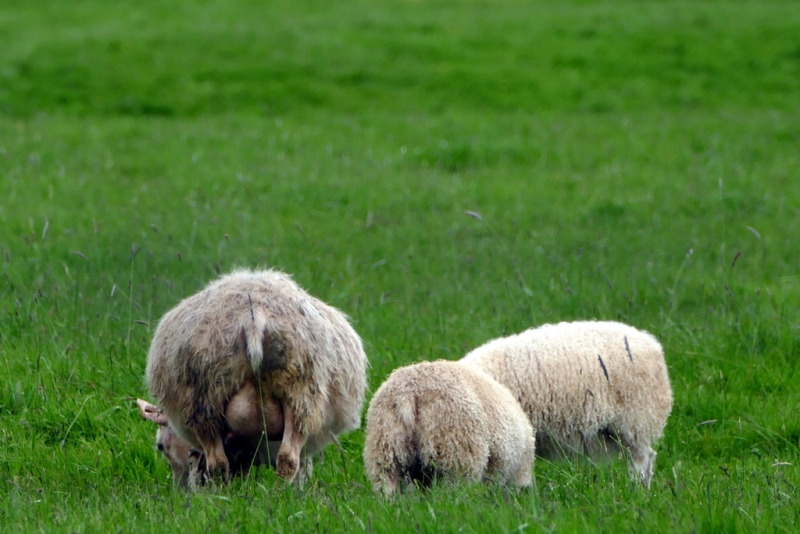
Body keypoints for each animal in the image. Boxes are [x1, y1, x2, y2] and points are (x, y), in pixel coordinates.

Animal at [145, 270, 368, 488]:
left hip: (208, 399)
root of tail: (254, 316)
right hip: (300, 395)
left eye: (160, 446)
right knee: (286, 458)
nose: (180, 489)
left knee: (221, 463)